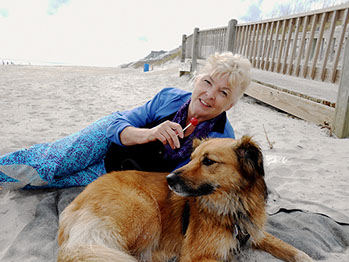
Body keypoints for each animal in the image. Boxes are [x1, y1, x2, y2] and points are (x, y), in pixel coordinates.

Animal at [57, 136, 312, 260]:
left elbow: (293, 249)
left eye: (208, 161)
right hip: (145, 210)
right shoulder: (198, 255)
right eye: (191, 158)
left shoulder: (255, 233)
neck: (233, 207)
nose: (169, 179)